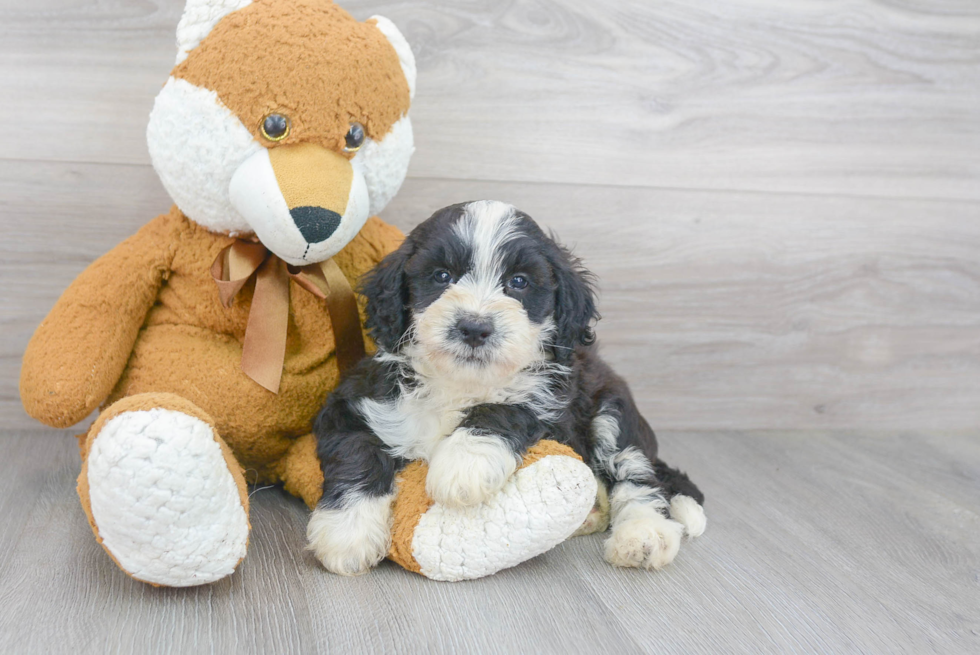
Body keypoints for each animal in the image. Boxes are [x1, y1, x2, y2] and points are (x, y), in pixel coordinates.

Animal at [306, 200, 704, 576]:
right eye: (441, 275)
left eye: (519, 282)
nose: (474, 327)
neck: (460, 383)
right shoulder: (354, 403)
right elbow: (356, 454)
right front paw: (347, 535)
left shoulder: (556, 407)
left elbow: (509, 407)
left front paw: (463, 463)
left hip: (612, 410)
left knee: (637, 476)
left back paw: (643, 536)